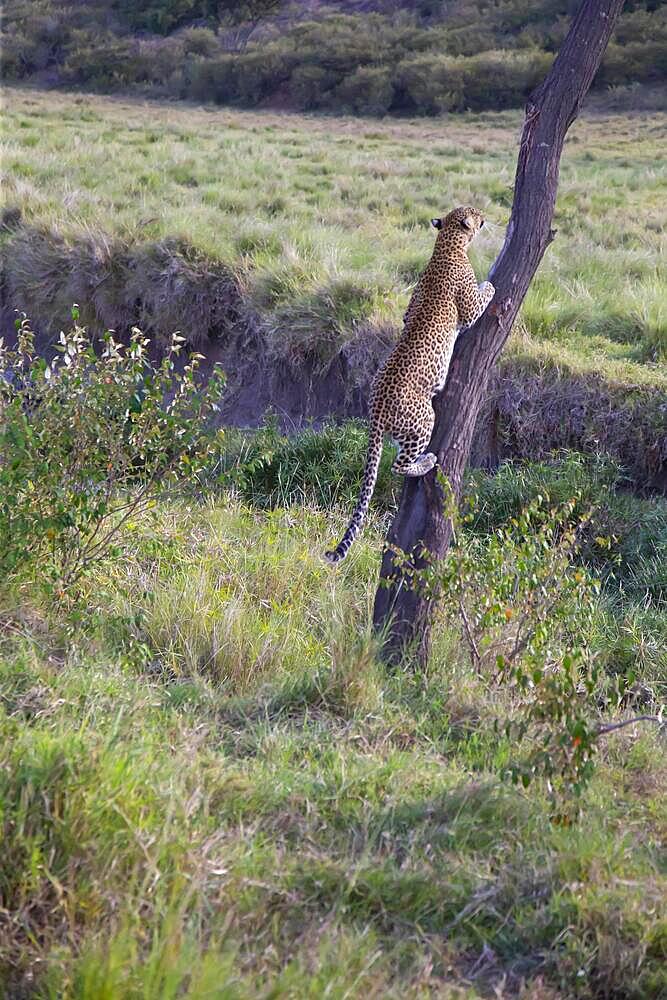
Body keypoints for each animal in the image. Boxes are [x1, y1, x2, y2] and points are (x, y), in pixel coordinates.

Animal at [326, 205, 494, 564]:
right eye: (474, 212)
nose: (485, 215)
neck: (447, 244)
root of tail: (375, 410)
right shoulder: (469, 307)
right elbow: (482, 296)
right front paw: (490, 282)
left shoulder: (408, 308)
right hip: (423, 418)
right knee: (399, 465)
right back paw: (427, 461)